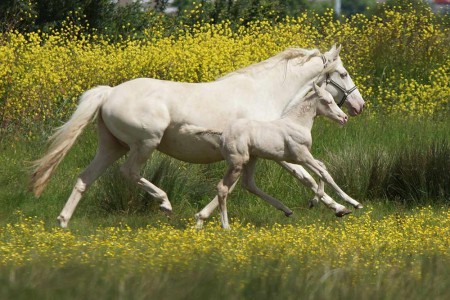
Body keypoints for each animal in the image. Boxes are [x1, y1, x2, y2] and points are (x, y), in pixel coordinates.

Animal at [211, 83, 356, 229]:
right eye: (327, 101)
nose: (344, 118)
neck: (297, 123)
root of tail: (222, 135)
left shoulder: (297, 158)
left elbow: (322, 167)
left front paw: (314, 201)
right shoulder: (302, 156)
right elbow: (325, 174)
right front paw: (353, 202)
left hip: (252, 159)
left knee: (248, 184)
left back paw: (286, 210)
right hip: (237, 163)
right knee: (223, 188)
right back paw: (226, 226)